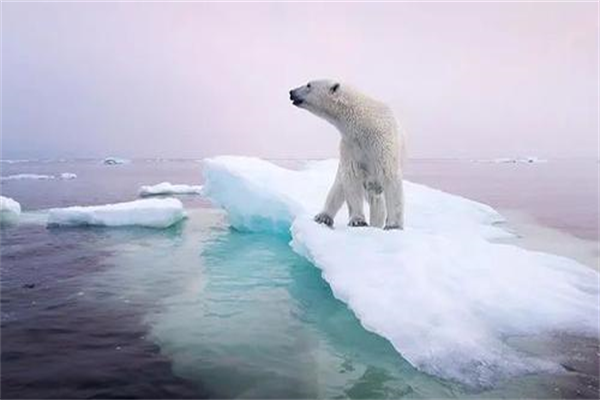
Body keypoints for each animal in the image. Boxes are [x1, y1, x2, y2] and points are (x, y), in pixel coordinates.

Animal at [290, 79, 404, 230]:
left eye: (309, 85)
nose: (291, 92)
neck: (363, 124)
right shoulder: (350, 146)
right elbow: (351, 176)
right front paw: (358, 221)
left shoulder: (382, 143)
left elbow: (389, 176)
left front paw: (393, 225)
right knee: (339, 187)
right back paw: (323, 217)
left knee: (376, 199)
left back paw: (376, 224)